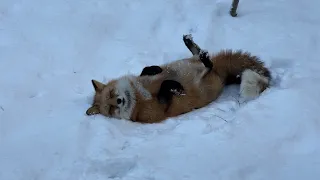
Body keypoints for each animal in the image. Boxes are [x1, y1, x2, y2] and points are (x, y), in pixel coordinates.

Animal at [86, 34, 272, 123]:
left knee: (200, 56)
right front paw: (176, 87)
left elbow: (147, 70)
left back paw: (191, 44)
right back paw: (204, 58)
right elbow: (166, 86)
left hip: (193, 61)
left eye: (111, 94)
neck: (138, 96)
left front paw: (154, 69)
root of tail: (222, 74)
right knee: (208, 65)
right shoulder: (160, 109)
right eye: (110, 109)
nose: (119, 101)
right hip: (207, 77)